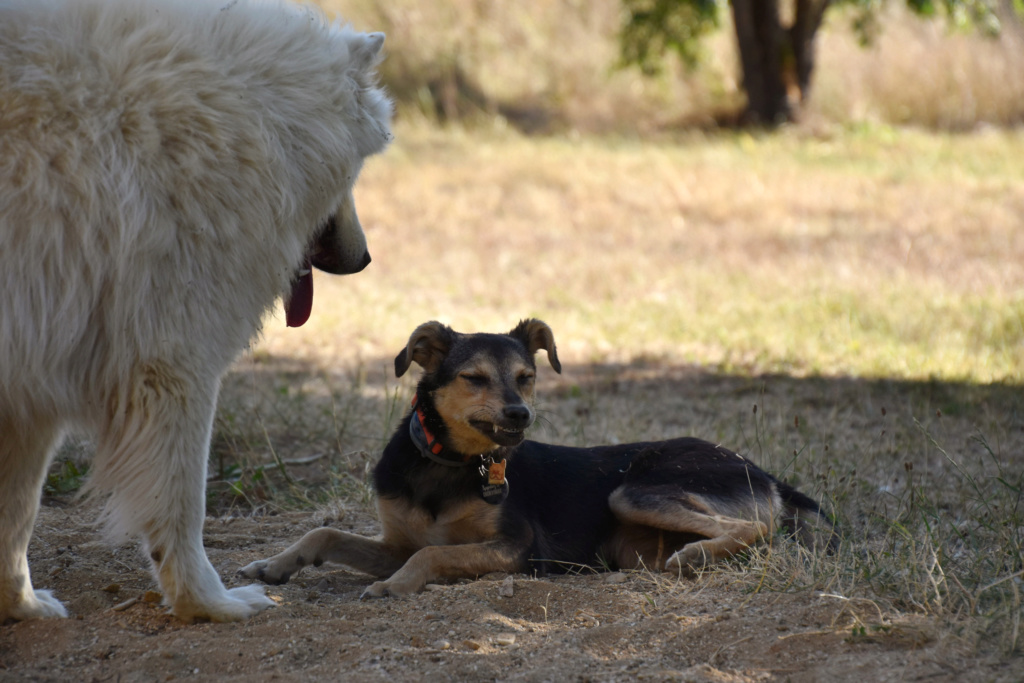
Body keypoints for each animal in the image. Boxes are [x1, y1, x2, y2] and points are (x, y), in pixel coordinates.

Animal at [0, 0, 391, 622]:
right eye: (355, 174)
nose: (365, 259)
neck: (256, 116)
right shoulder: (172, 361)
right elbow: (183, 503)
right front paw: (210, 603)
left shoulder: (31, 374)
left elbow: (16, 510)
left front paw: (23, 606)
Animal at [243, 321, 835, 598]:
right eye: (474, 378)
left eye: (527, 376)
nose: (520, 413)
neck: (450, 465)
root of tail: (760, 470)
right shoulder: (394, 544)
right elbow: (325, 534)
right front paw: (272, 565)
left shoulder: (517, 547)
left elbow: (433, 555)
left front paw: (395, 587)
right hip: (631, 540)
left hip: (633, 490)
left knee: (754, 528)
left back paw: (697, 556)